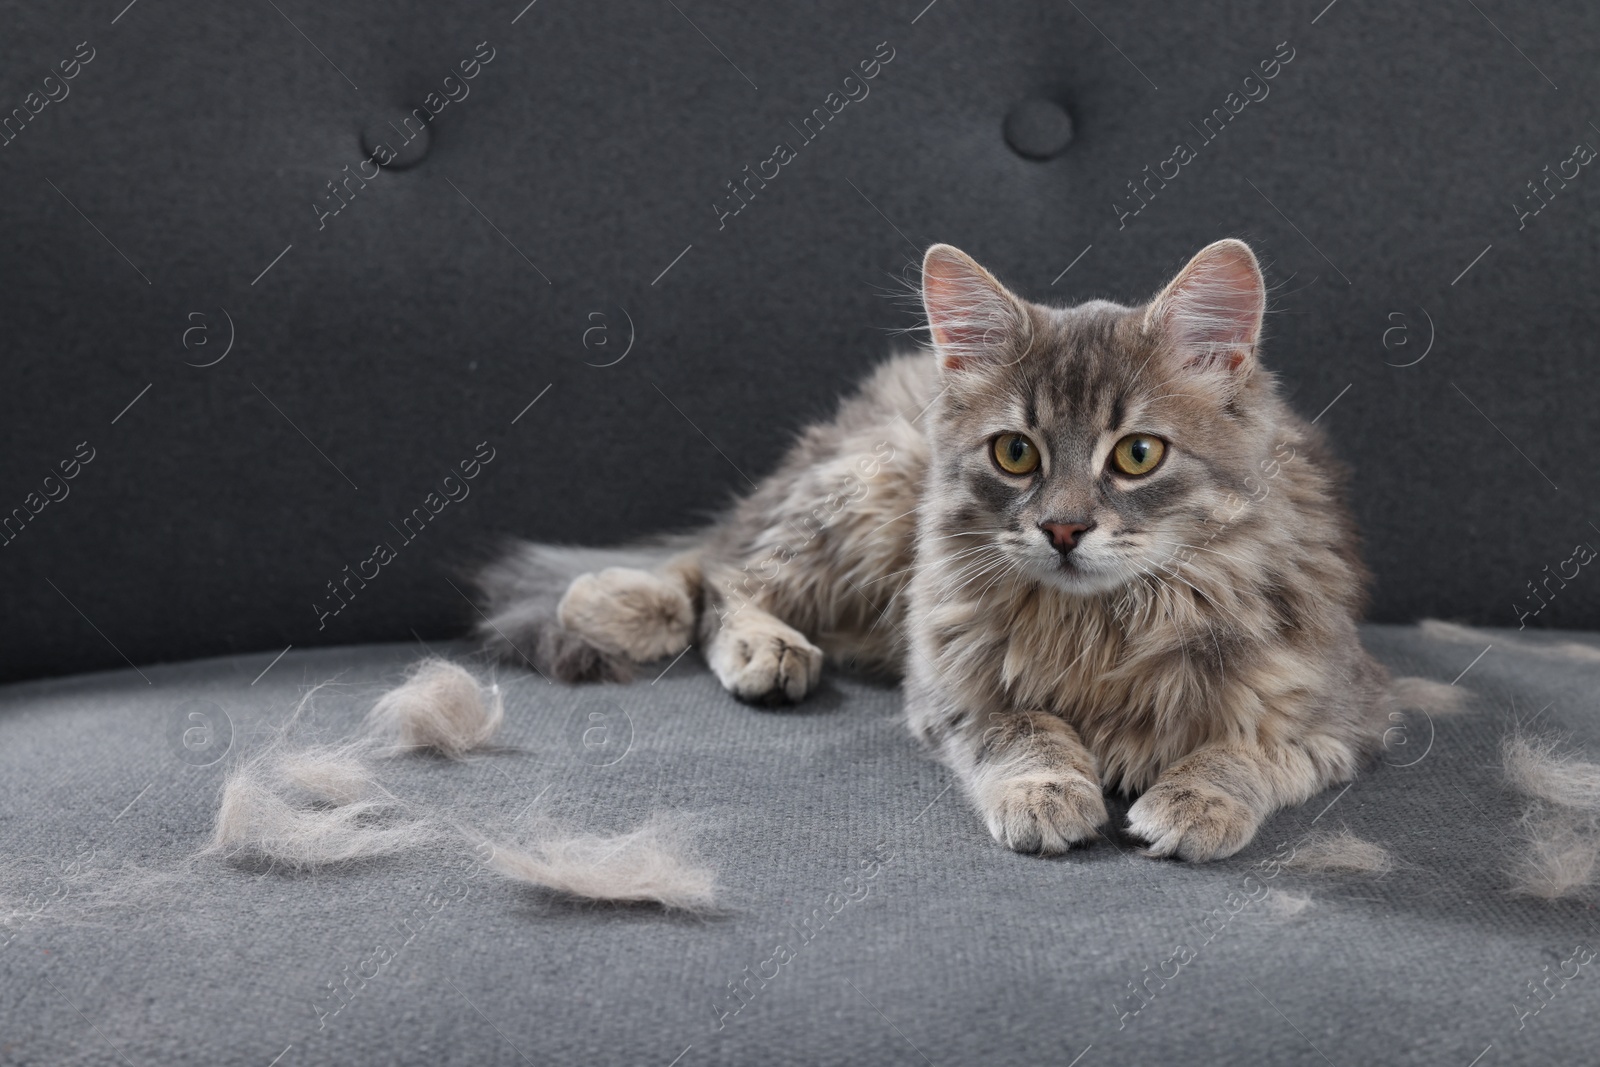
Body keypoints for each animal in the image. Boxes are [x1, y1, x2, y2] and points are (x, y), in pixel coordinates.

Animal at [470, 239, 1388, 857]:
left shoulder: (1344, 705)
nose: (1062, 528)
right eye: (1015, 453)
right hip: (870, 486)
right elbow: (1025, 728)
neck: (1106, 624)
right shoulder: (950, 680)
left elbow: (1246, 747)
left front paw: (1195, 800)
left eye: (1137, 455)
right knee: (718, 574)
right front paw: (1048, 792)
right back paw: (719, 635)